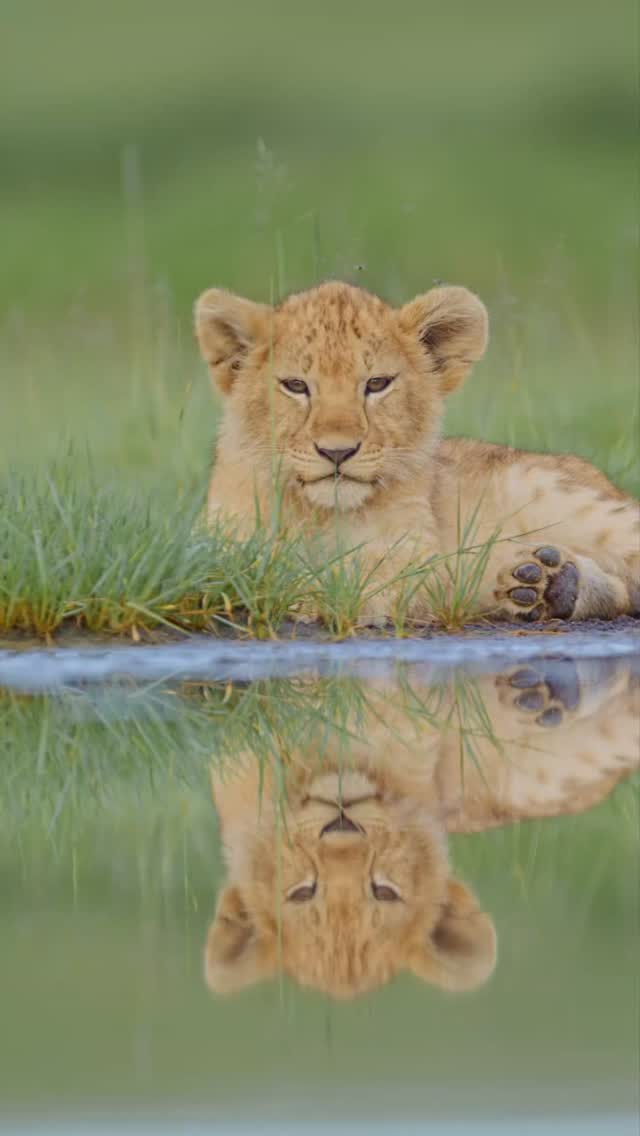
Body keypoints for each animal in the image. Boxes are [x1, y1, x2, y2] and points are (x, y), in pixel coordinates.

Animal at [195, 280, 639, 624]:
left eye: (377, 384)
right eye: (295, 385)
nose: (337, 452)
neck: (321, 513)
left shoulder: (419, 556)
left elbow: (375, 574)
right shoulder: (221, 544)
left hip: (561, 495)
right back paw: (545, 581)